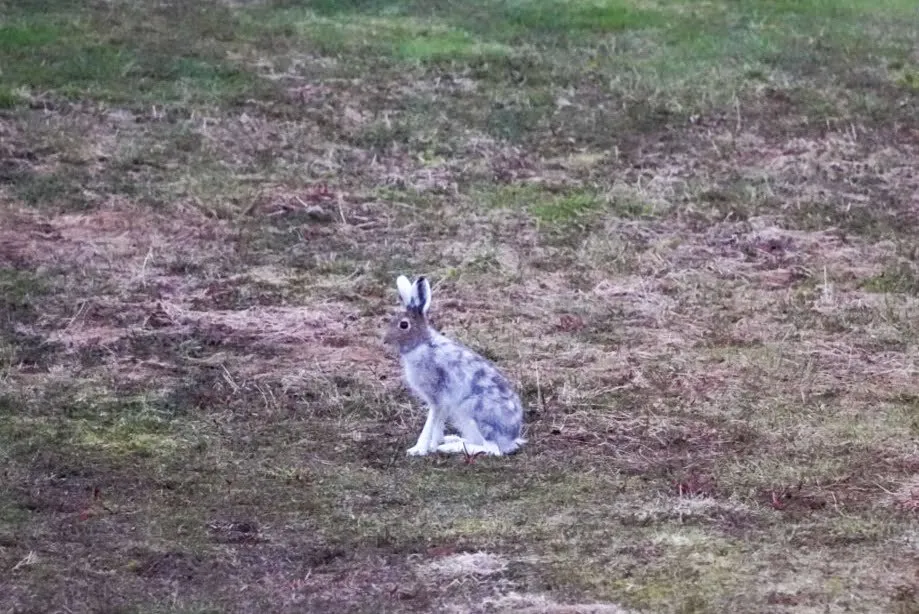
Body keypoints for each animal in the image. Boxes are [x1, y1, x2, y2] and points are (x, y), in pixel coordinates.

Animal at [383, 275, 526, 457]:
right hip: (463, 417)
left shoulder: (436, 398)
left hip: (474, 411)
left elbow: (430, 423)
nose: (385, 340)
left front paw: (418, 450)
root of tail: (511, 438)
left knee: (492, 449)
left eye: (403, 325)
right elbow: (437, 424)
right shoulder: (444, 403)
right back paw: (452, 440)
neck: (422, 344)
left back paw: (451, 447)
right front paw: (433, 445)